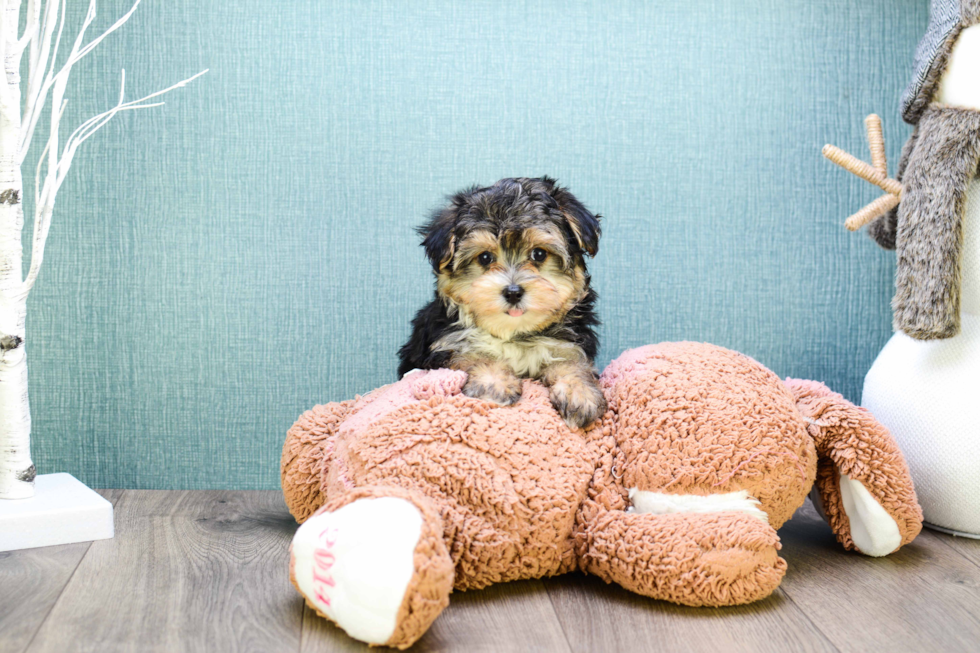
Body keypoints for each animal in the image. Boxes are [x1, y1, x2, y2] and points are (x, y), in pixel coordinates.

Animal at [400, 176, 604, 428]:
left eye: (539, 254)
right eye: (485, 257)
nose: (513, 292)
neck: (514, 333)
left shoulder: (570, 342)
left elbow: (573, 361)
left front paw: (580, 393)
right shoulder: (447, 344)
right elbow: (474, 353)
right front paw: (494, 384)